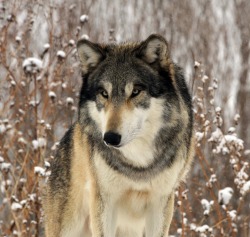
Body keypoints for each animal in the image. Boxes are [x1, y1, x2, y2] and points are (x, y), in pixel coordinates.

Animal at [43, 33, 194, 237]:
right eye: (104, 93)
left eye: (136, 91)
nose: (110, 138)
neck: (138, 163)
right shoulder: (105, 202)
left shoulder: (160, 202)